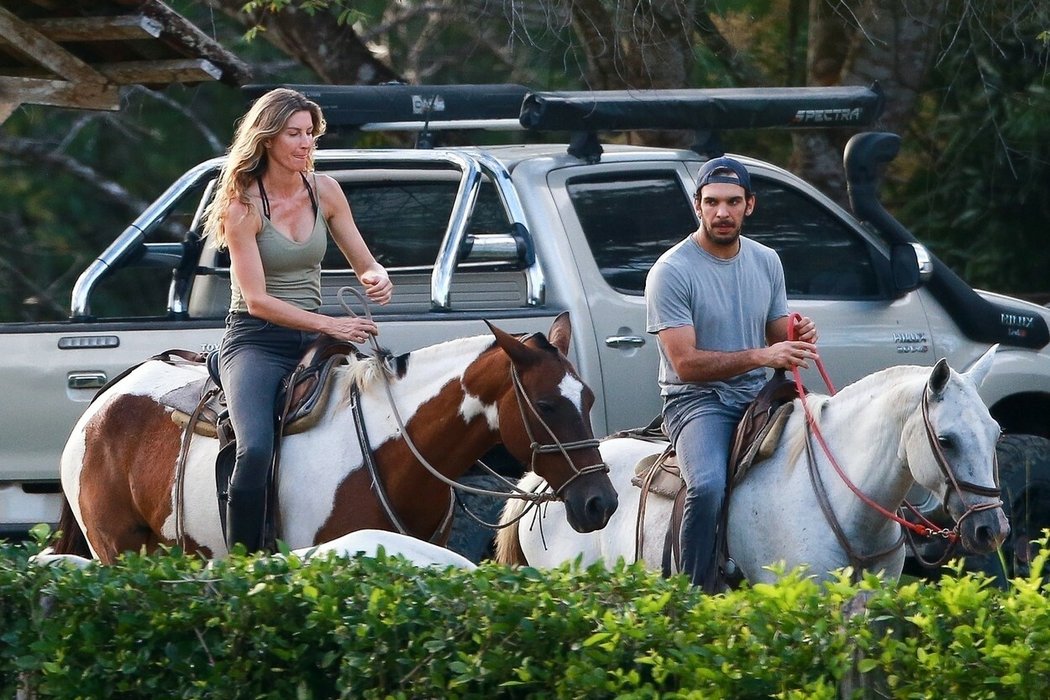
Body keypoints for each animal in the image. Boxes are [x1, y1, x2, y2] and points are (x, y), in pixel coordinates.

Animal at [53, 312, 617, 562]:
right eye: (545, 405)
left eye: (589, 398)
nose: (601, 502)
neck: (389, 453)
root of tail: (105, 399)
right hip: (118, 549)